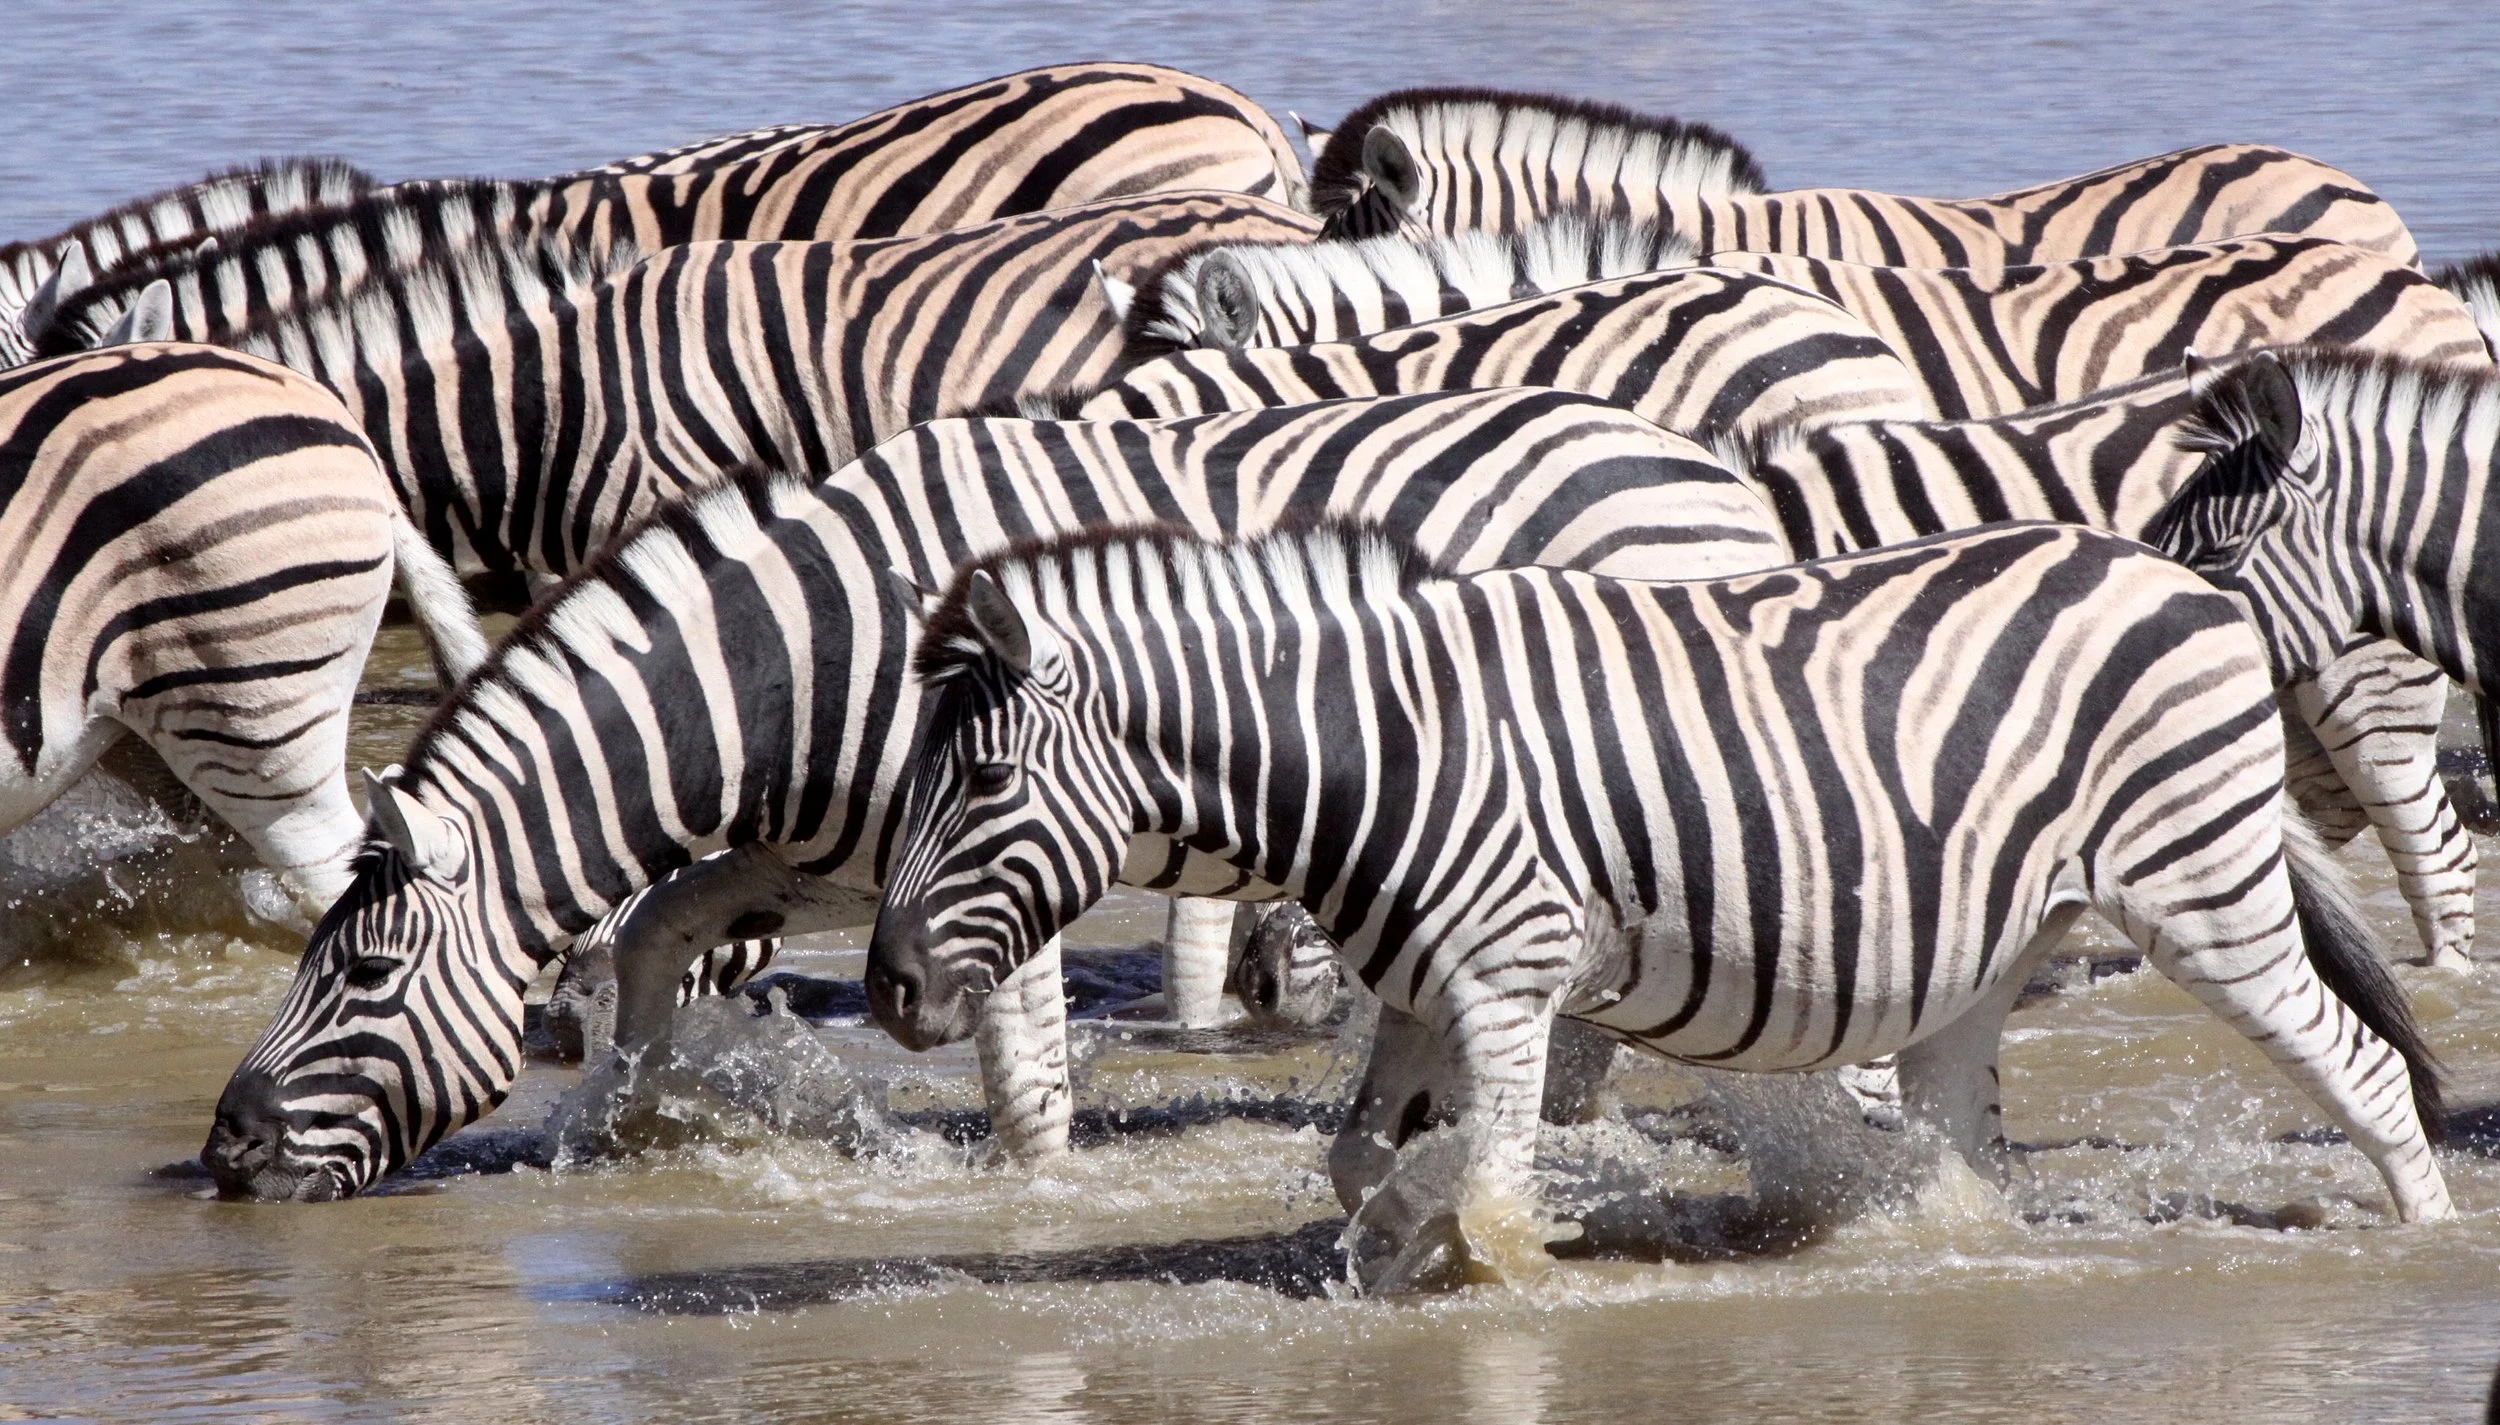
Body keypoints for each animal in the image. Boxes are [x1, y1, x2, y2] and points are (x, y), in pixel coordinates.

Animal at [197, 386, 1796, 1199]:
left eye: (362, 972)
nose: (221, 1149)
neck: (800, 658)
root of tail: (1704, 462)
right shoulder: (833, 855)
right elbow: (654, 937)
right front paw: (628, 1126)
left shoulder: (995, 869)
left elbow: (1026, 1097)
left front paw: (1031, 1216)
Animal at [862, 518, 2453, 1295]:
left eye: (984, 779)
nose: (886, 990)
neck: (1383, 747)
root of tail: (2175, 574)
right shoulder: (1420, 991)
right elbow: (1362, 1155)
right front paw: (1393, 1256)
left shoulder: (1506, 978)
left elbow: (1484, 1168)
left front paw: (1483, 1262)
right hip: (1999, 945)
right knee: (1962, 1149)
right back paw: (1945, 1255)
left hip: (2201, 888)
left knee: (2368, 1071)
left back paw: (2426, 1238)